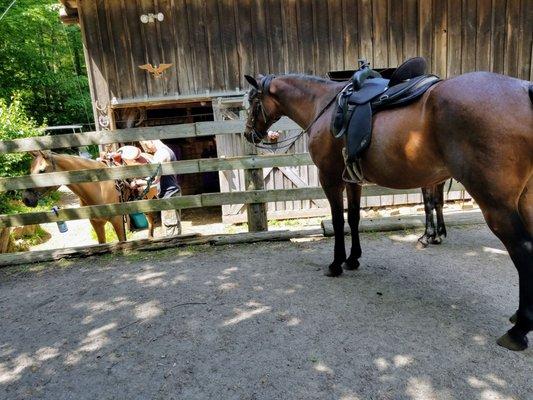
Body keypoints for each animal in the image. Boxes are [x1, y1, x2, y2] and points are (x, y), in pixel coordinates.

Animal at [244, 72, 532, 350]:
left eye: (253, 102)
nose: (249, 135)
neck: (324, 105)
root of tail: (524, 91)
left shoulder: (330, 179)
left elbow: (337, 221)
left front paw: (336, 263)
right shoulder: (352, 180)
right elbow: (354, 218)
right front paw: (353, 259)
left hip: (497, 207)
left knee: (523, 251)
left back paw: (518, 331)